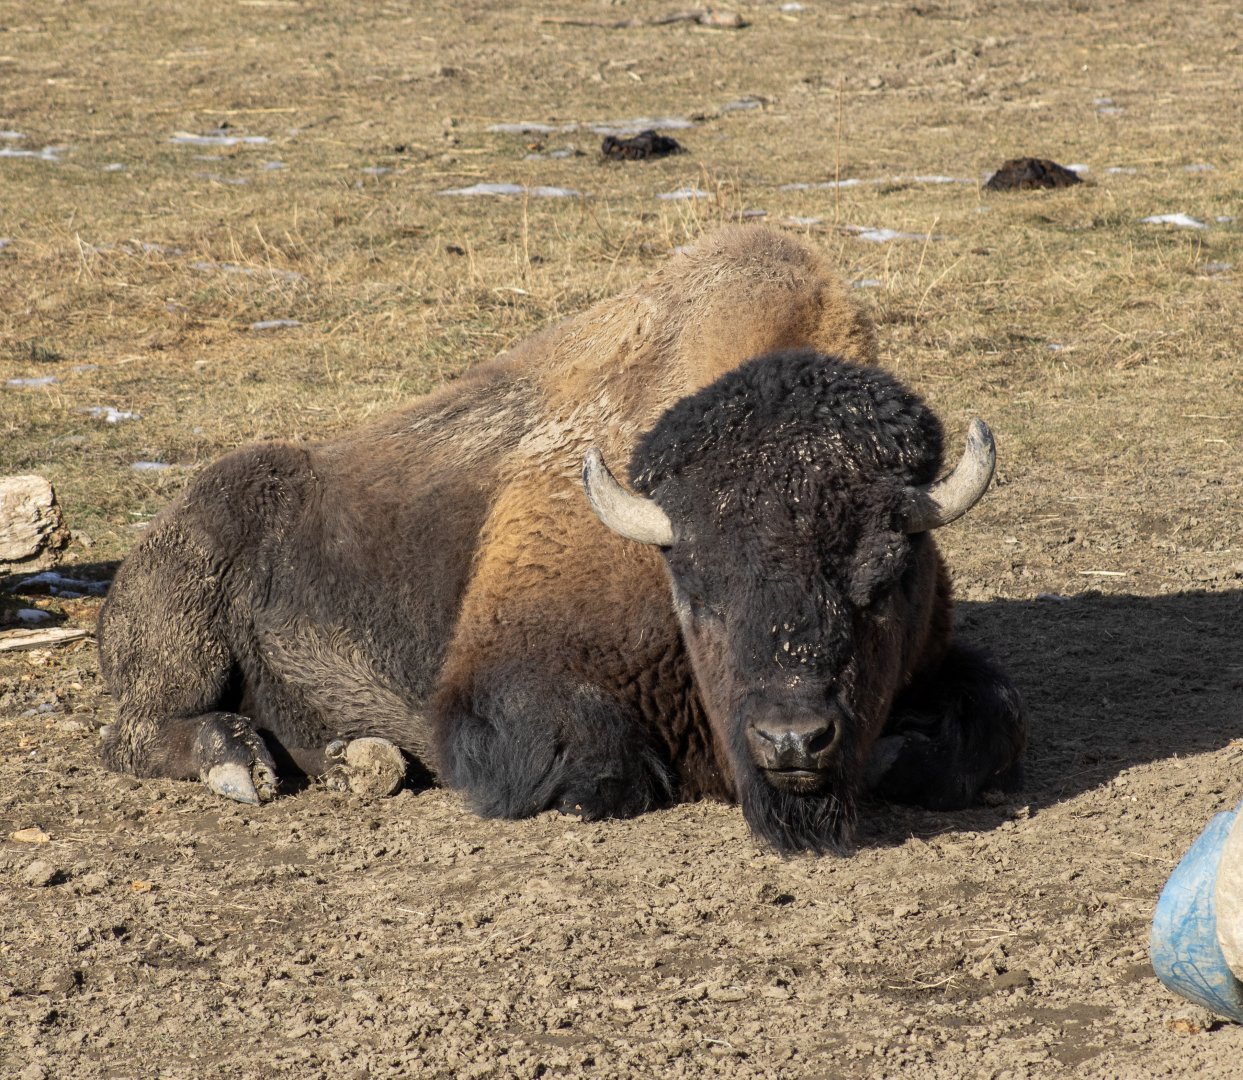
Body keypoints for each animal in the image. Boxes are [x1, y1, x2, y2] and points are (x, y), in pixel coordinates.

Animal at [98, 225, 1024, 853]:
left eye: (885, 578)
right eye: (695, 589)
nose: (791, 741)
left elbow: (986, 727)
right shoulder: (495, 690)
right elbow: (604, 770)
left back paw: (363, 761)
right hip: (183, 631)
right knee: (134, 731)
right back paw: (243, 765)